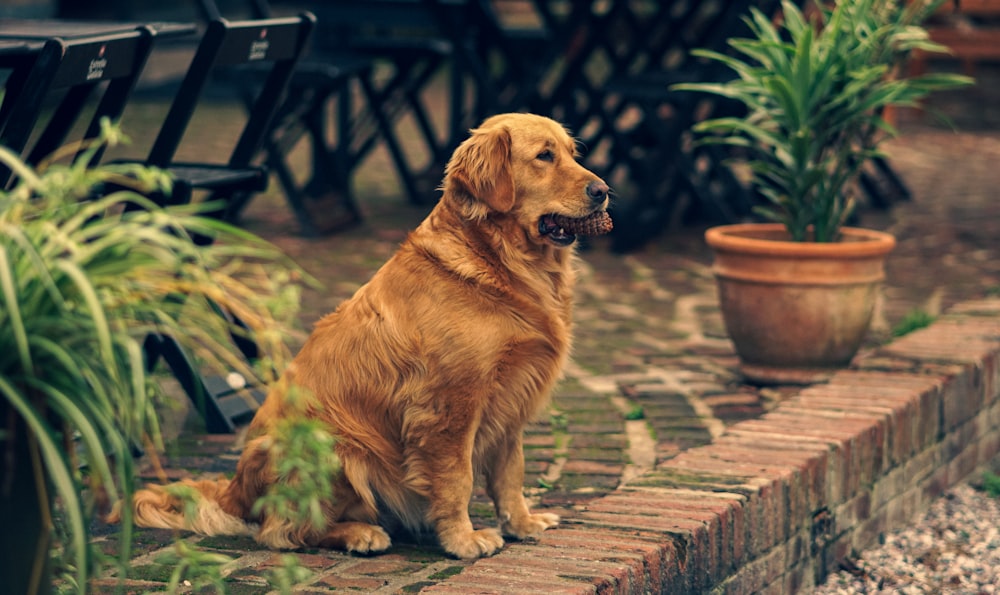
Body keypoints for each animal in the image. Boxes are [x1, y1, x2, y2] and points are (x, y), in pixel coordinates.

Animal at [122, 112, 612, 560]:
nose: (604, 191)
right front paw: (463, 541)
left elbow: (511, 474)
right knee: (283, 532)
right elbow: (458, 479)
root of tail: (234, 490)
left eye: (573, 153)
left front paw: (523, 524)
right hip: (332, 446)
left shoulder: (512, 398)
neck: (496, 261)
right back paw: (359, 534)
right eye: (544, 157)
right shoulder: (450, 405)